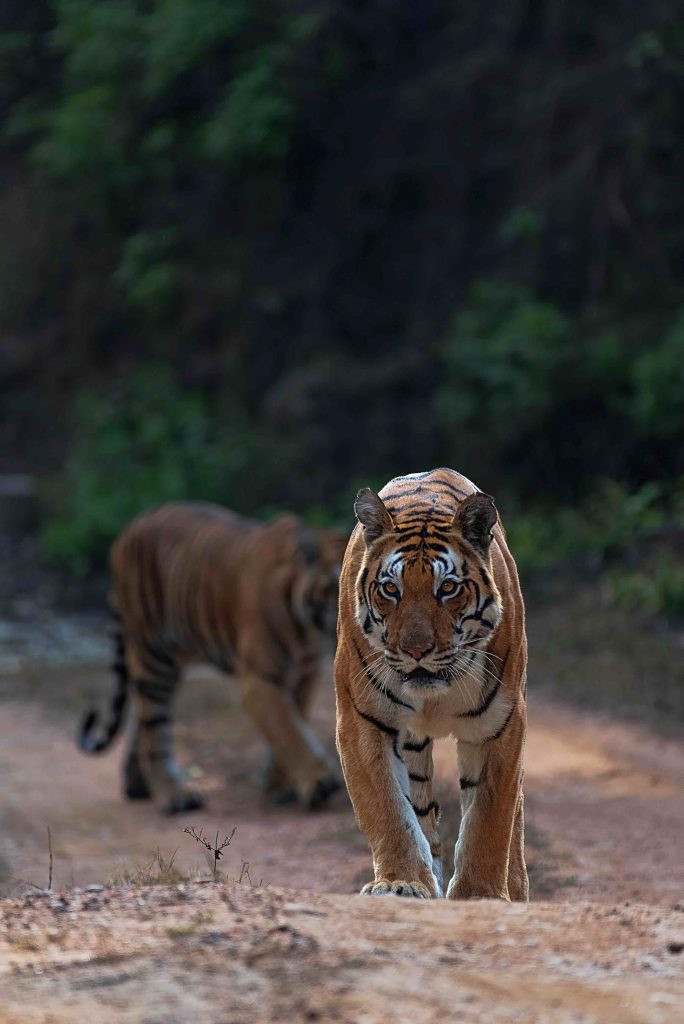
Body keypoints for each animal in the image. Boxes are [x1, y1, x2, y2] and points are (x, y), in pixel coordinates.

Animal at [77, 503, 344, 815]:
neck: (310, 629)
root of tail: (128, 530)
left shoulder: (304, 675)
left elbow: (290, 726)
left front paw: (279, 786)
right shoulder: (259, 677)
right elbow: (287, 729)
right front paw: (317, 782)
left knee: (140, 721)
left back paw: (138, 786)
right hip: (153, 657)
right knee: (153, 732)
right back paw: (174, 796)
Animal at [331, 468, 528, 901]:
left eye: (448, 588)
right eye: (391, 589)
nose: (416, 650)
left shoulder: (500, 726)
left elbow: (490, 817)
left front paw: (481, 894)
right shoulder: (363, 721)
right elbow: (389, 810)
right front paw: (400, 882)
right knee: (422, 814)